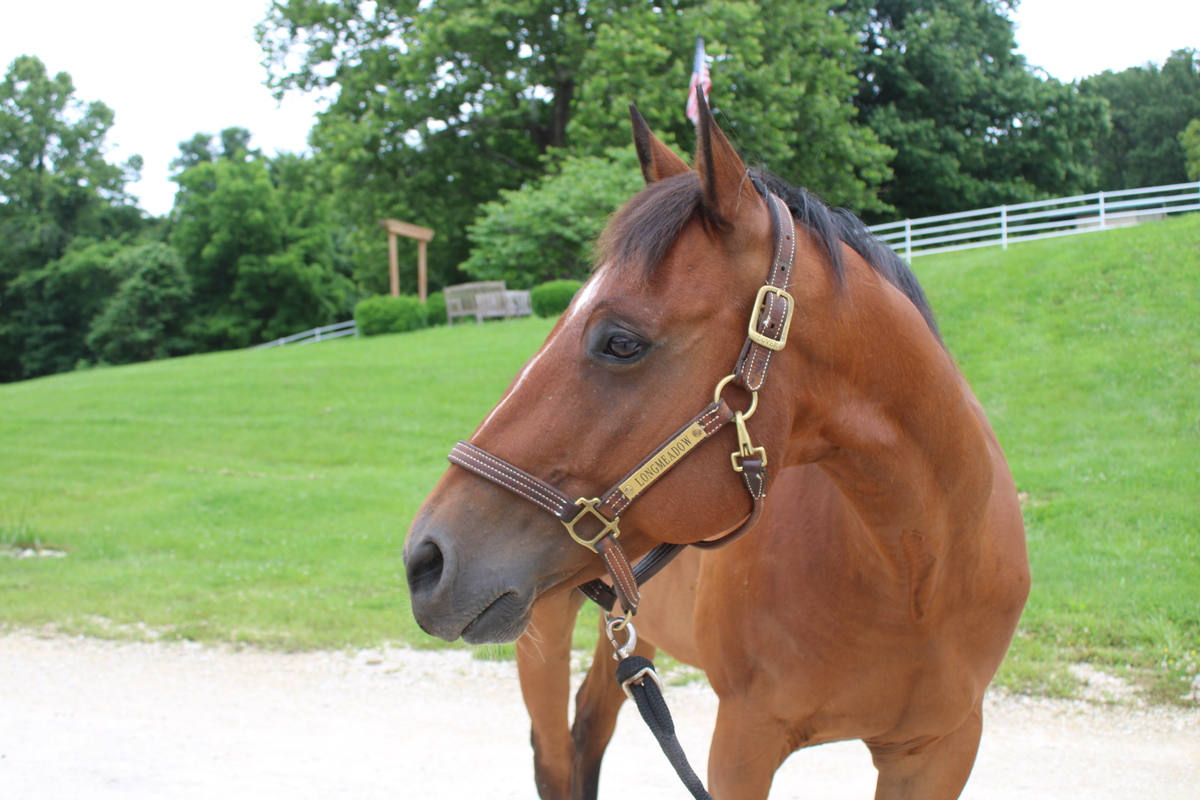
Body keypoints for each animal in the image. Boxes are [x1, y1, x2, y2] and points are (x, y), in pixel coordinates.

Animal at [404, 92, 1030, 799]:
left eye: (621, 341)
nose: (425, 559)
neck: (916, 574)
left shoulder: (940, 750)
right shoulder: (744, 740)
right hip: (544, 628)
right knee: (558, 757)